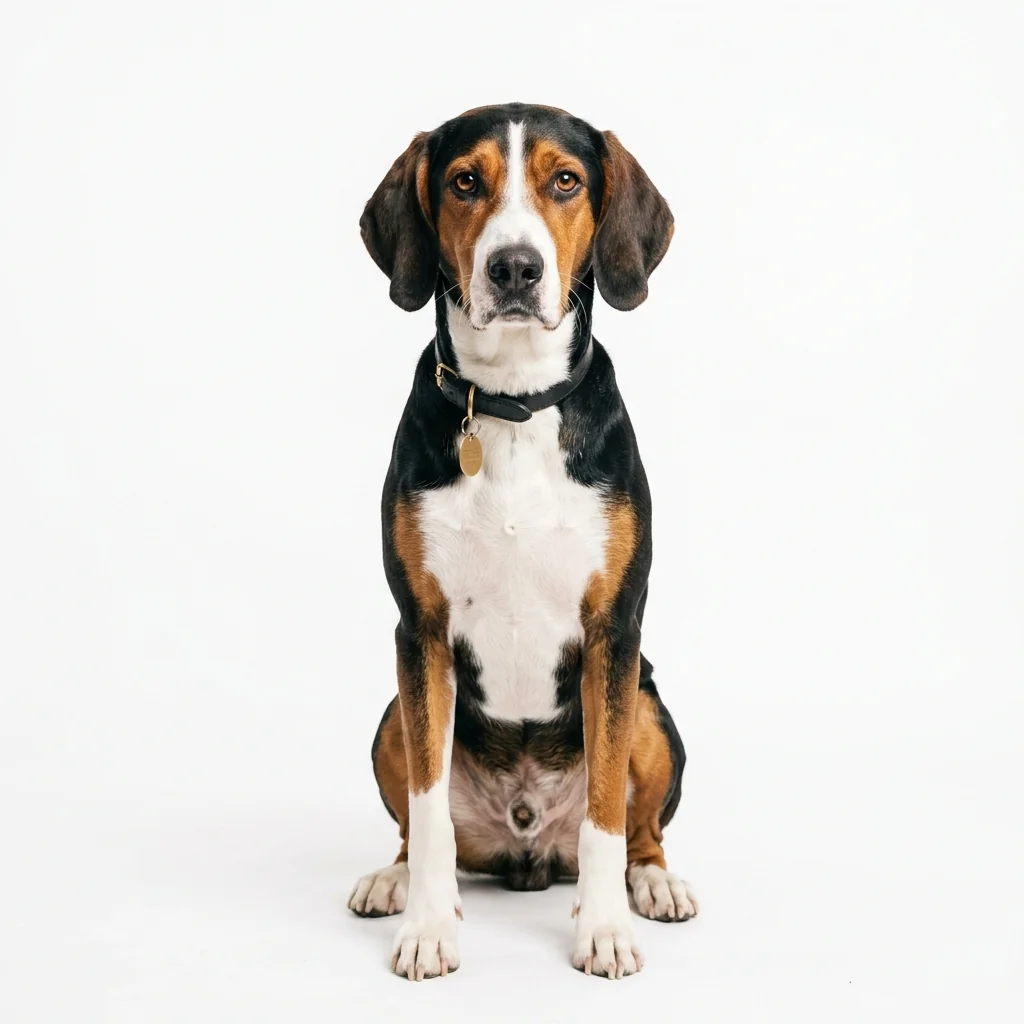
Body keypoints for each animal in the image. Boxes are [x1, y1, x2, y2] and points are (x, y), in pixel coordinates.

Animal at [348, 103, 698, 980]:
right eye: (464, 181)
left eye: (565, 181)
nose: (514, 269)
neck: (510, 405)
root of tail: (526, 842)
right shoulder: (421, 632)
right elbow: (427, 812)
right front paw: (428, 926)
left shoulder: (613, 633)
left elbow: (607, 813)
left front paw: (603, 929)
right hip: (392, 714)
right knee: (413, 824)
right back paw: (390, 879)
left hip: (650, 706)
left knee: (641, 831)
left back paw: (654, 884)